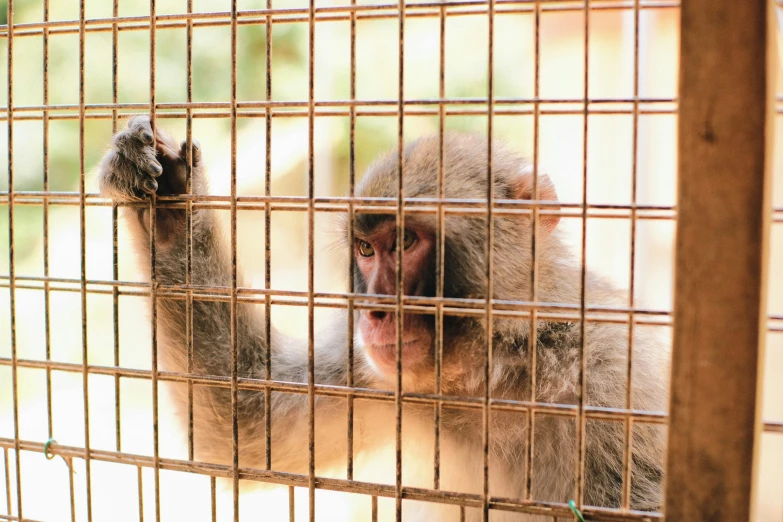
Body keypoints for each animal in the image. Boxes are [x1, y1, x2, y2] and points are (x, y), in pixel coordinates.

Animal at [96, 117, 668, 520]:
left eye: (407, 241)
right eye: (367, 250)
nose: (373, 311)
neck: (491, 371)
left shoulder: (611, 388)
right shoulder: (365, 370)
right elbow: (244, 428)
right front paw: (169, 204)